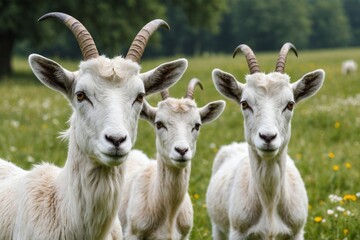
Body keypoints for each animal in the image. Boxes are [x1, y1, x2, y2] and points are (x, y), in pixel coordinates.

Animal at [205, 43, 326, 240]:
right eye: (244, 103)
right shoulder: (237, 231)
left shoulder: (297, 231)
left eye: (290, 104)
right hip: (217, 227)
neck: (269, 205)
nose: (268, 137)